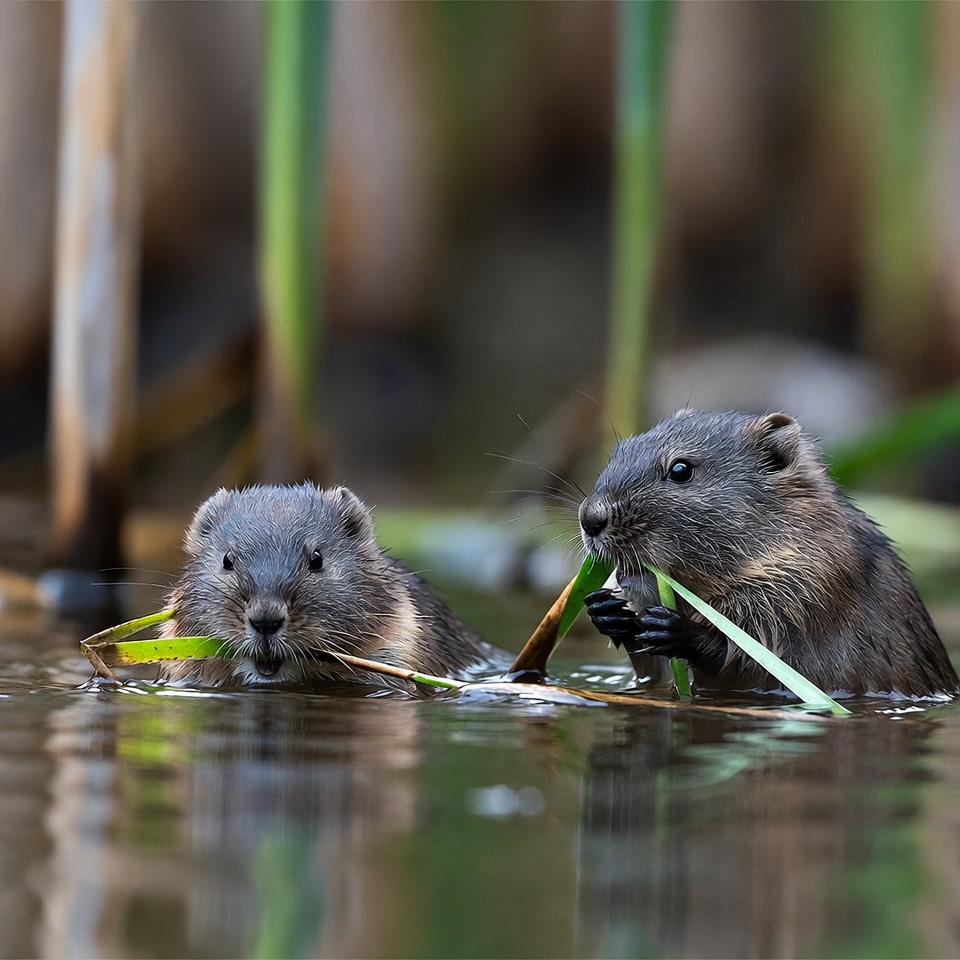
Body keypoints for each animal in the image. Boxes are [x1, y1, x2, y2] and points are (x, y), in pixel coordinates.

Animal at [579, 410, 959, 699]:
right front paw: (606, 609)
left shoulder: (817, 582)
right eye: (618, 452)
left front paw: (674, 629)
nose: (591, 519)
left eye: (680, 470)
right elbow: (654, 674)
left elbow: (760, 661)